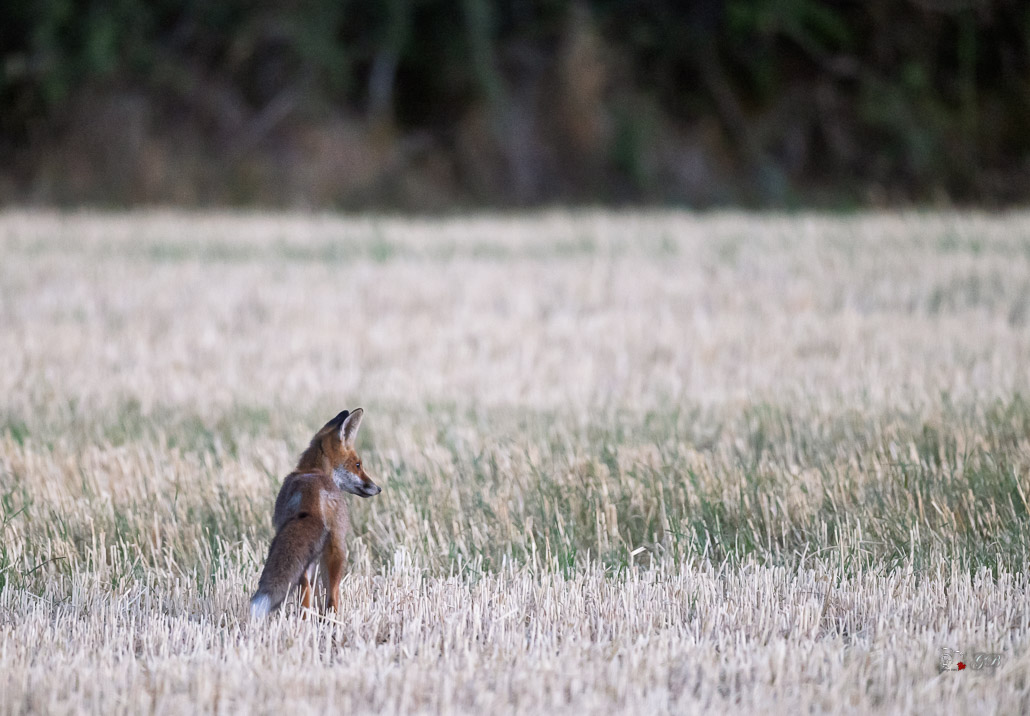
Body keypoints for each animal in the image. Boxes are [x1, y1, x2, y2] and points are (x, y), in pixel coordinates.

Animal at [249, 408, 381, 619]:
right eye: (358, 465)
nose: (378, 488)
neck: (313, 470)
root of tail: (313, 494)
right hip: (335, 549)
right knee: (329, 597)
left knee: (312, 594)